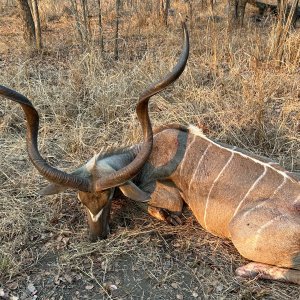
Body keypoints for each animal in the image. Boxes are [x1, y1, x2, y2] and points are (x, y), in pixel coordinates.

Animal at [0, 22, 300, 284]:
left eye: (110, 197)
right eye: (81, 200)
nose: (97, 236)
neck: (152, 150)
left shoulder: (169, 196)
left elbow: (153, 205)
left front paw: (168, 216)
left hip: (241, 234)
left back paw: (249, 270)